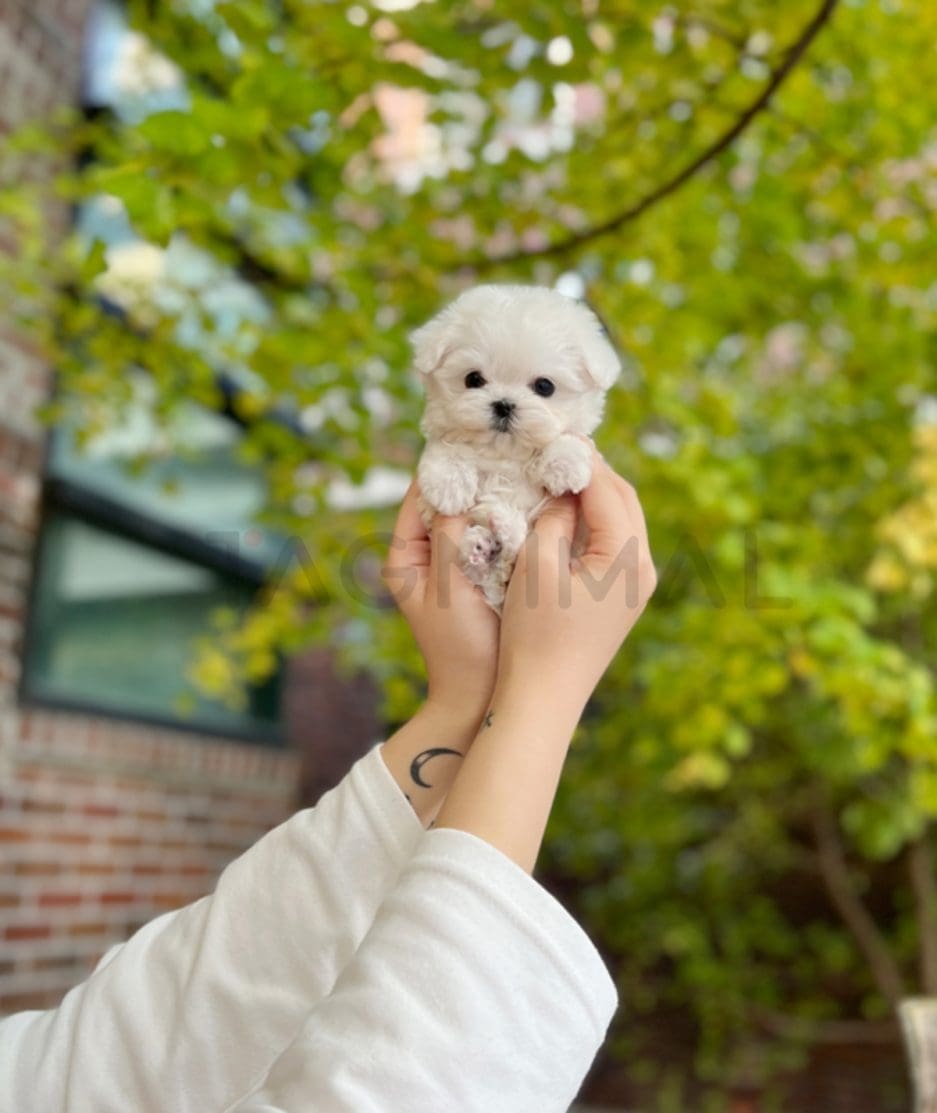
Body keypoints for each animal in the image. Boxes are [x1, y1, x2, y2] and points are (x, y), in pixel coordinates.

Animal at [411, 284, 618, 609]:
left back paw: (501, 528)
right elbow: (446, 449)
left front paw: (564, 465)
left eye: (545, 386)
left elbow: (568, 439)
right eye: (473, 379)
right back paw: (486, 542)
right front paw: (449, 486)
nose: (504, 404)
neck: (504, 455)